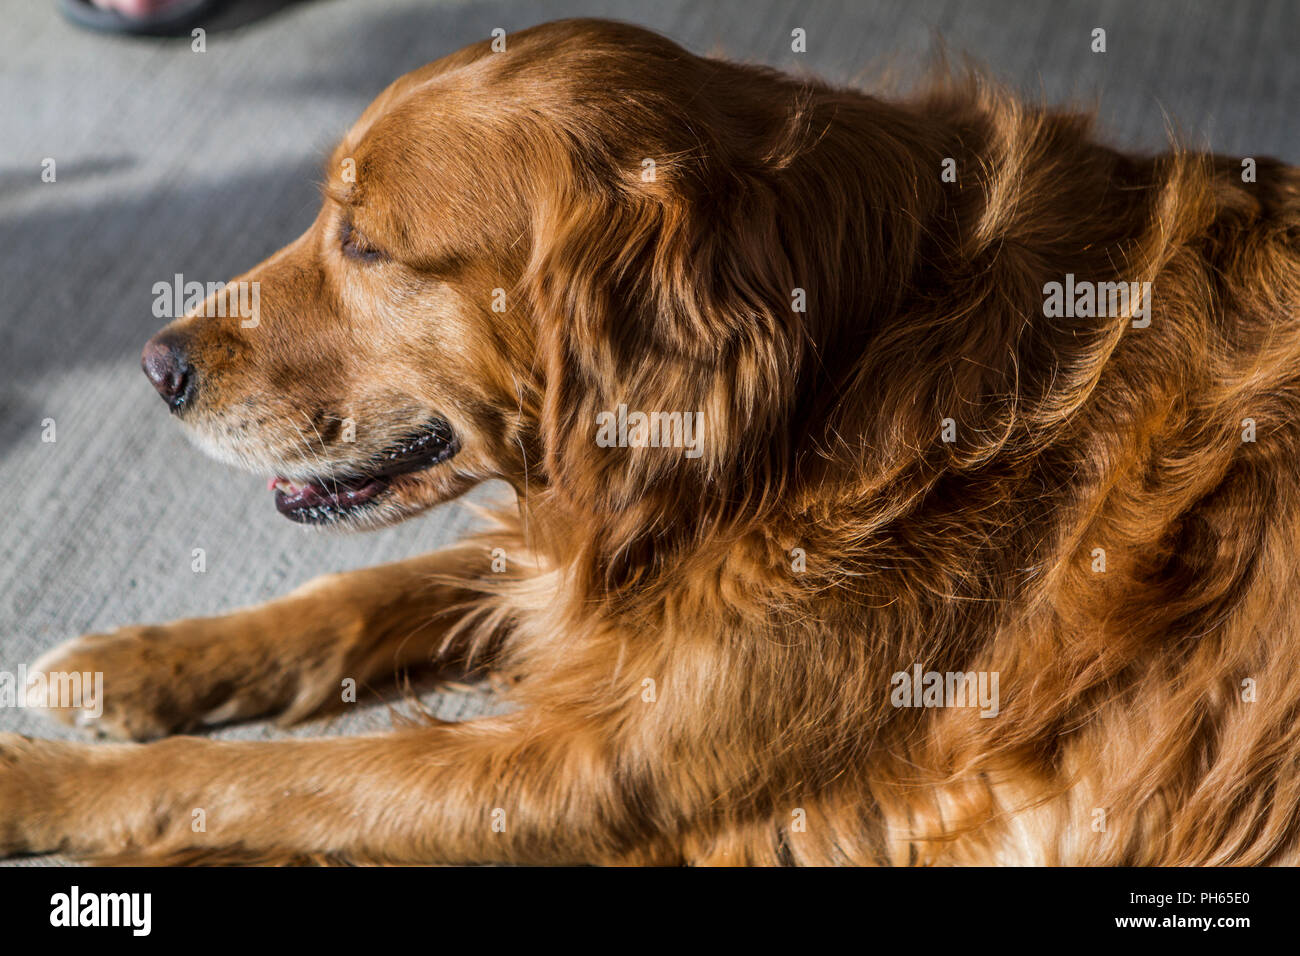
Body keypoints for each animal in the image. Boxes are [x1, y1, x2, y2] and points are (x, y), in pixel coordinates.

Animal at [2, 18, 1300, 863]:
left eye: (366, 245)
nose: (154, 365)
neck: (829, 376)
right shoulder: (585, 552)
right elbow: (357, 595)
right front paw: (133, 661)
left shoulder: (579, 775)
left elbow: (247, 780)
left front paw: (35, 781)